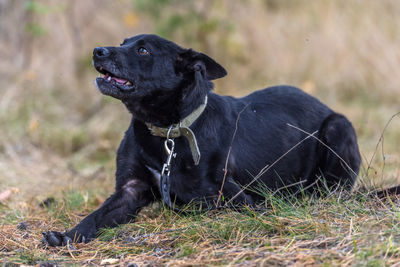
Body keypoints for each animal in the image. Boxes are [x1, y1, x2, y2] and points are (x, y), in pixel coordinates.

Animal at [42, 34, 360, 247]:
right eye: (123, 42)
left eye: (143, 50)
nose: (97, 51)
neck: (168, 132)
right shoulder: (130, 190)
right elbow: (95, 217)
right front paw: (66, 235)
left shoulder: (234, 199)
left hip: (338, 127)